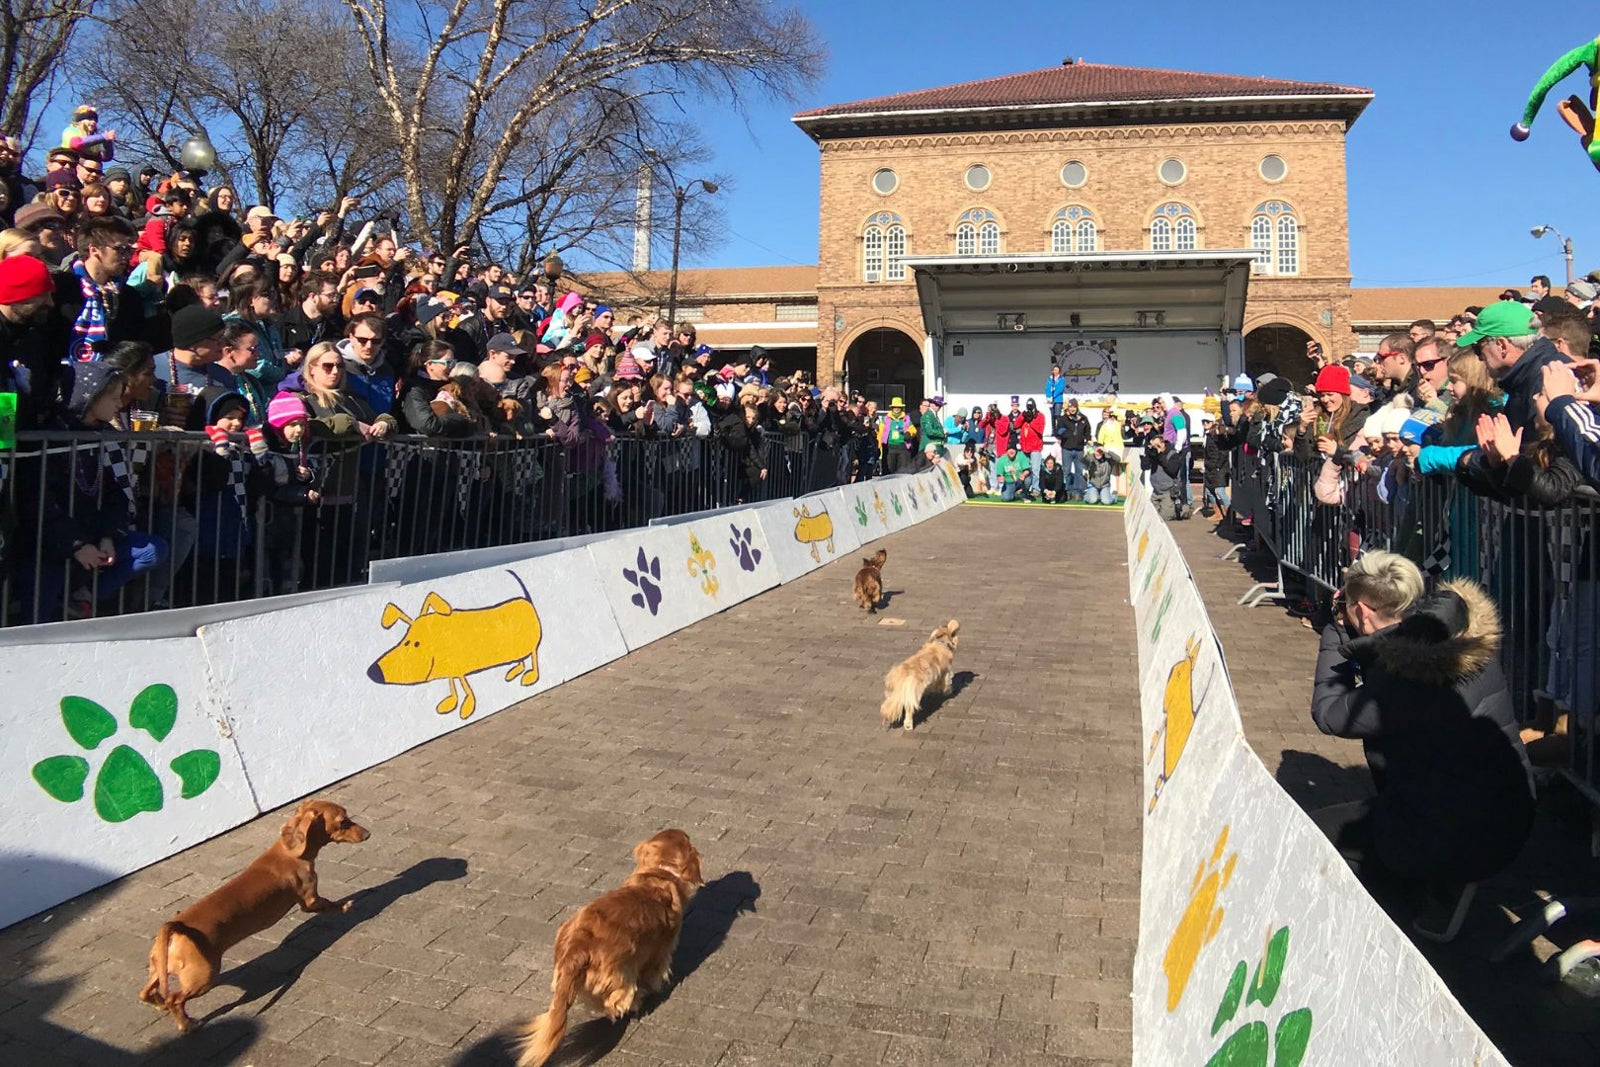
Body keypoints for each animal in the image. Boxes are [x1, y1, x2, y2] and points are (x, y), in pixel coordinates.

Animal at [139, 799, 369, 1036]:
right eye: (342, 822)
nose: (368, 833)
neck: (290, 853)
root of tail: (176, 927)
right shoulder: (310, 901)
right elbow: (331, 904)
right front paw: (345, 906)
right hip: (203, 977)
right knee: (176, 1000)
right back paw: (186, 1023)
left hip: (158, 970)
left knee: (145, 993)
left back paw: (160, 1004)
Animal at [368, 566, 544, 716]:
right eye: (405, 640)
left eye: (415, 644)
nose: (373, 672)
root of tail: (528, 602)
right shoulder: (452, 671)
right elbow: (452, 685)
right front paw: (448, 704)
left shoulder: (458, 669)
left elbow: (466, 688)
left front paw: (466, 710)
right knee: (522, 659)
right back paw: (513, 672)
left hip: (531, 645)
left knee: (534, 656)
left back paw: (531, 677)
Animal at [518, 831, 707, 1067]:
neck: (660, 871)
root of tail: (577, 948)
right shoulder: (661, 951)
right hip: (623, 976)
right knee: (615, 1002)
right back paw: (635, 1000)